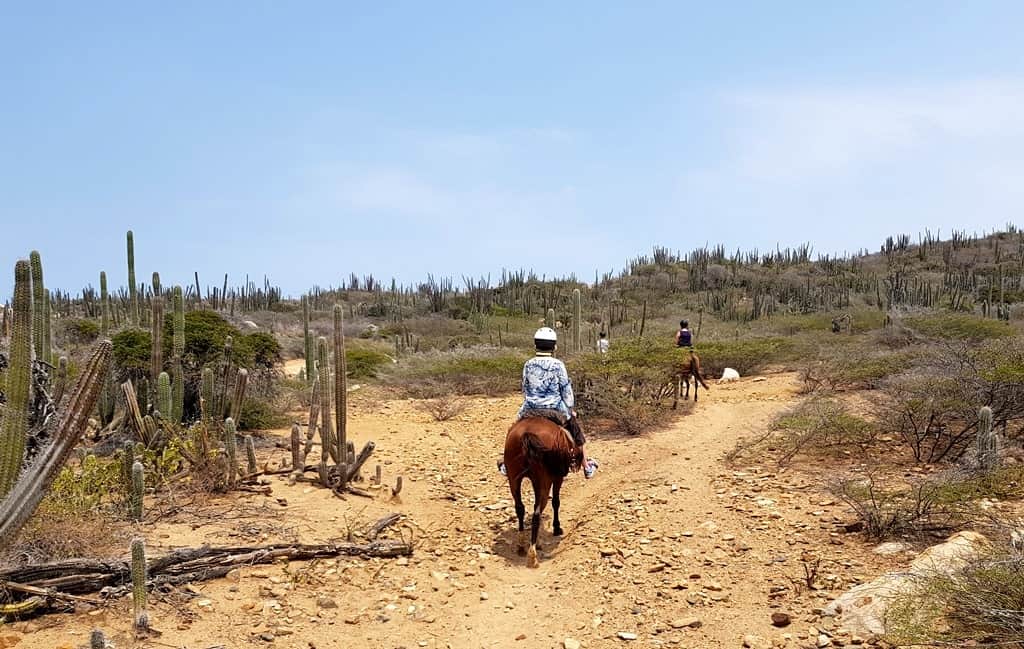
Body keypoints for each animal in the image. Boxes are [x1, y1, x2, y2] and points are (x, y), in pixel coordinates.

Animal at [499, 413, 581, 565]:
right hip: (544, 481)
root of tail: (526, 434)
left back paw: (521, 545)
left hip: (514, 479)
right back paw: (533, 553)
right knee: (537, 512)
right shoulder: (558, 478)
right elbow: (556, 502)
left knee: (520, 508)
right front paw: (557, 528)